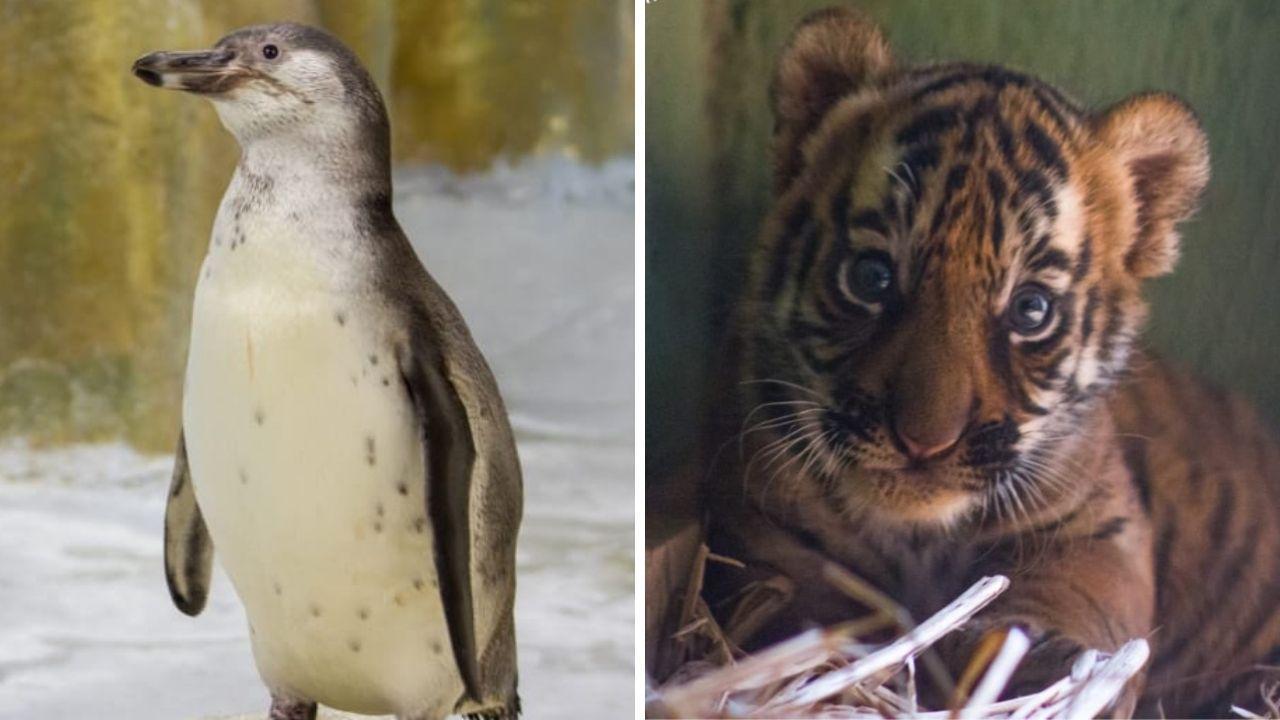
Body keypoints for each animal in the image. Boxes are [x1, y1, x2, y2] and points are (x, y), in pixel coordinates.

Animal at [698, 7, 1280, 717]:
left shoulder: (1098, 536)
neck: (919, 537)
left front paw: (1026, 661)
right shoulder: (763, 534)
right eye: (872, 277)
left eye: (1031, 310)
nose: (924, 442)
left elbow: (1069, 609)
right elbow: (803, 614)